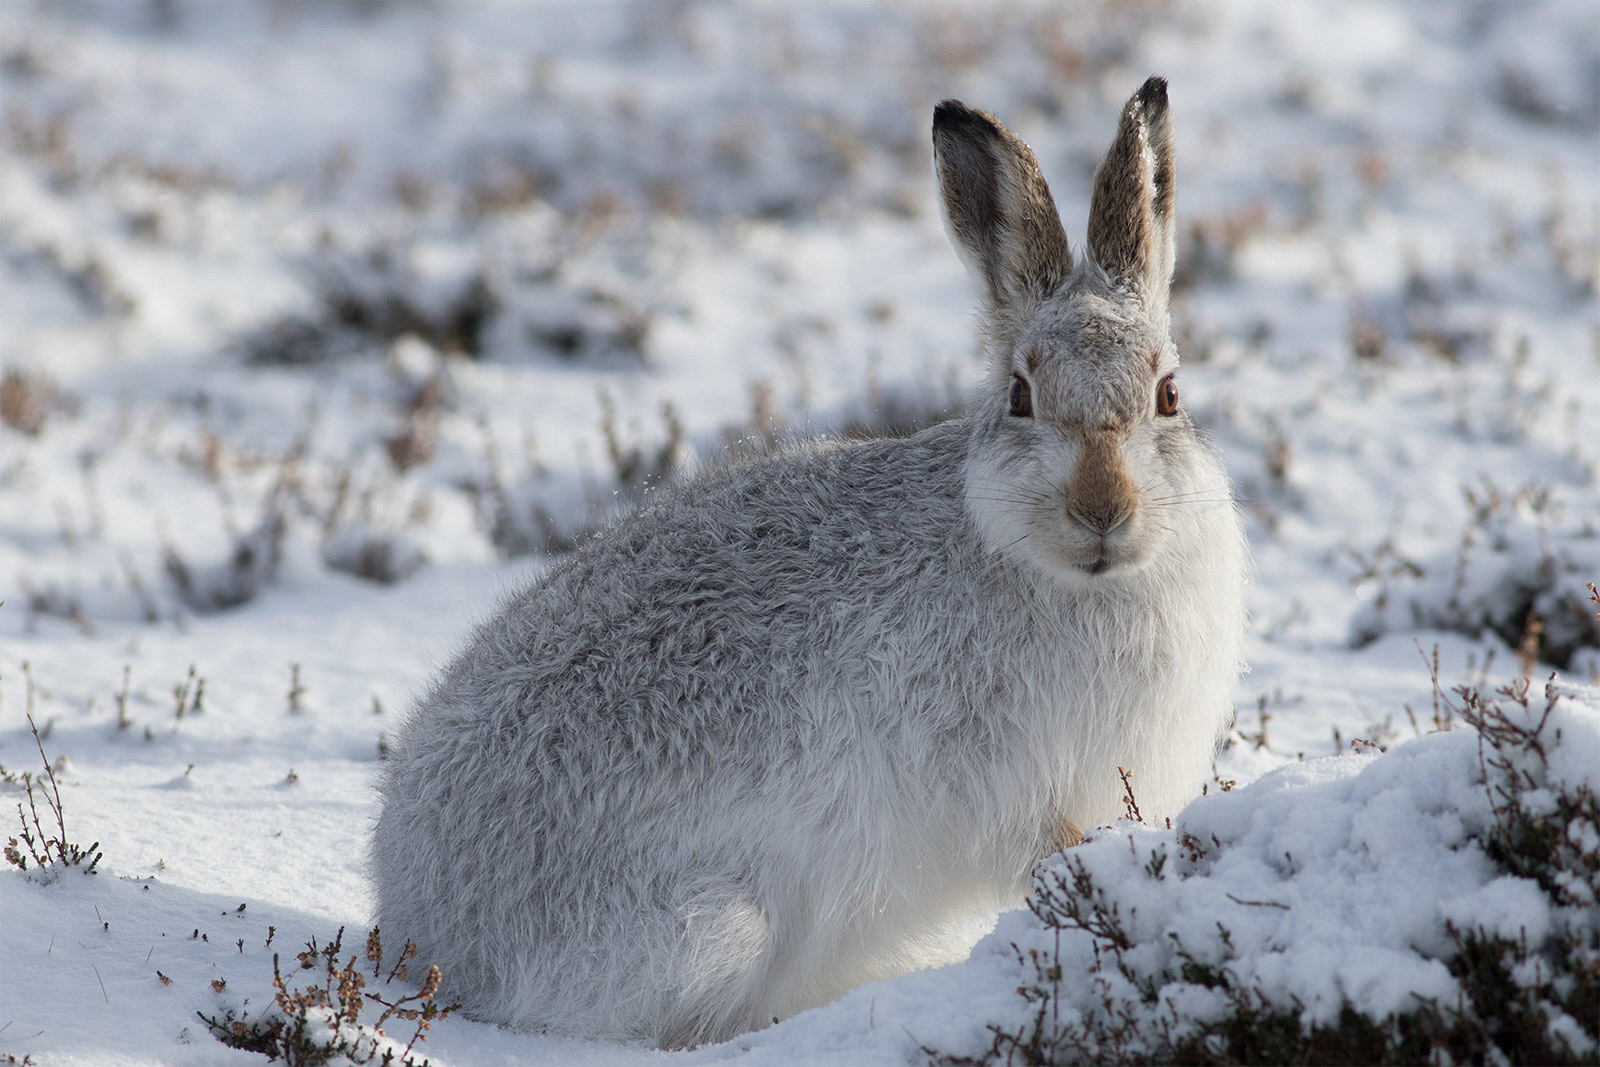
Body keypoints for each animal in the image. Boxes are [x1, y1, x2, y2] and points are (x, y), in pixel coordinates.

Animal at [371, 76, 1247, 1050]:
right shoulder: (1005, 779)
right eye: (1021, 397)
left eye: (1169, 394)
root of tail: (417, 927)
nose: (1102, 510)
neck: (1048, 566)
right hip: (714, 932)